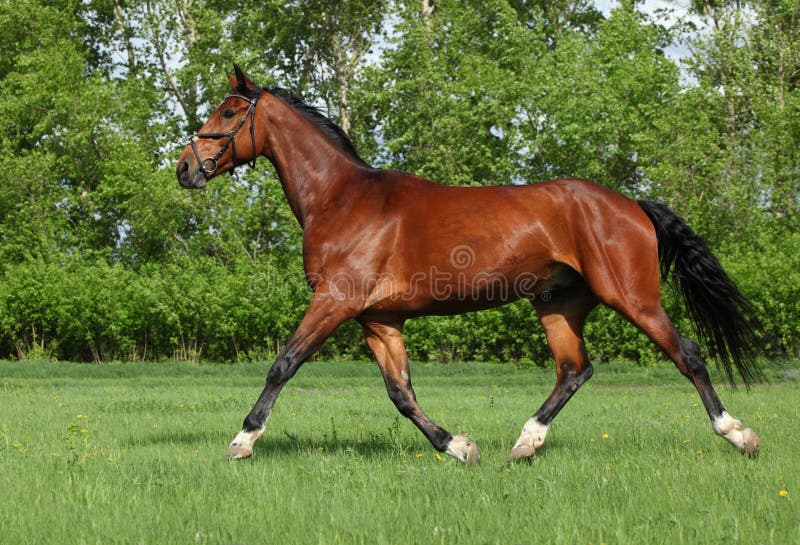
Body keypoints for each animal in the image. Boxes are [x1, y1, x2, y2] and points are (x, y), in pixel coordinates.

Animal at [176, 65, 762, 464]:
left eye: (228, 113)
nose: (185, 168)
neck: (342, 198)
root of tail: (631, 205)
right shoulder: (378, 319)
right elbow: (401, 393)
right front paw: (457, 445)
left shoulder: (335, 301)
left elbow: (284, 364)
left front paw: (242, 440)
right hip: (559, 304)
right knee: (574, 369)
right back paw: (525, 443)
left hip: (632, 297)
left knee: (687, 353)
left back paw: (739, 434)